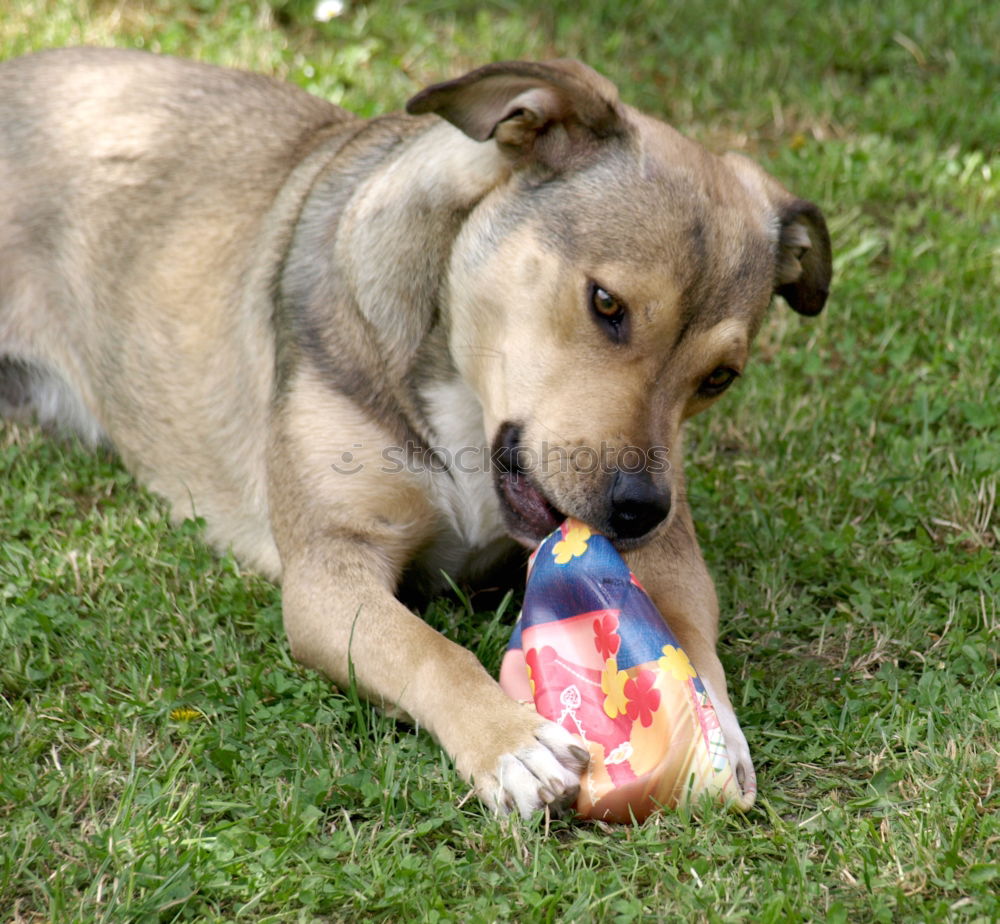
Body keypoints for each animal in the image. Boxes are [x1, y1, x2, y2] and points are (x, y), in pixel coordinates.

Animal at [0, 48, 828, 816]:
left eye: (720, 378)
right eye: (606, 304)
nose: (639, 511)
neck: (462, 400)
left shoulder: (666, 553)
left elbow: (685, 627)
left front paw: (713, 725)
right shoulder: (329, 573)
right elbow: (427, 649)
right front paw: (510, 741)